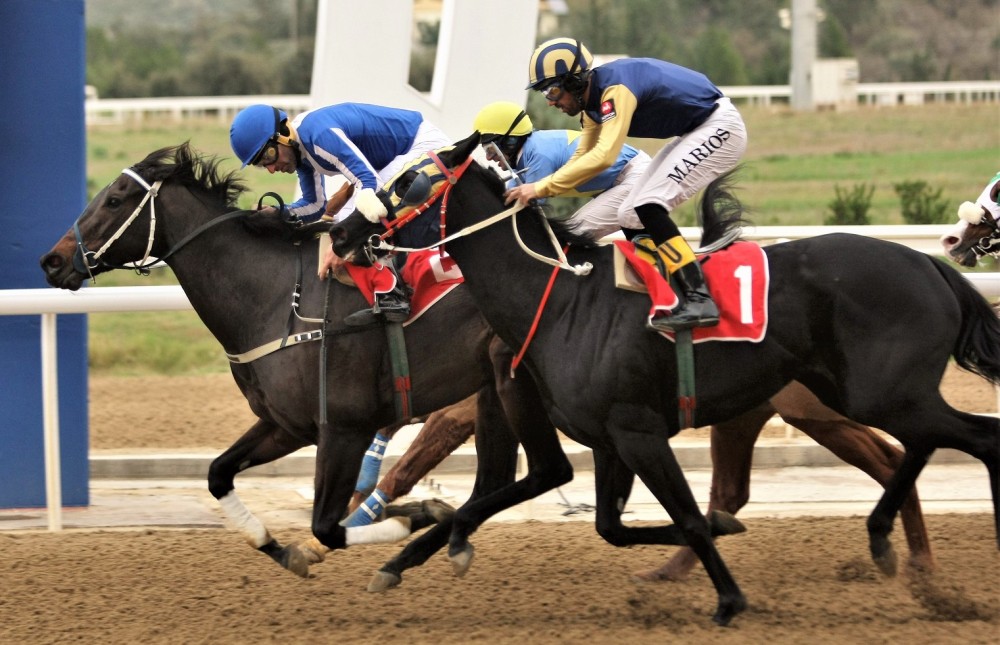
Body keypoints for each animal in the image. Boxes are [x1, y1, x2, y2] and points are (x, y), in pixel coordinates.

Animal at [334, 135, 1000, 624]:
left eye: (407, 182)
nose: (340, 234)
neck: (562, 300)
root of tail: (931, 268)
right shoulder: (608, 439)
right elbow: (613, 527)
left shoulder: (638, 431)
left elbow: (685, 517)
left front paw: (729, 599)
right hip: (864, 393)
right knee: (930, 443)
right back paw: (886, 542)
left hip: (879, 392)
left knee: (972, 439)